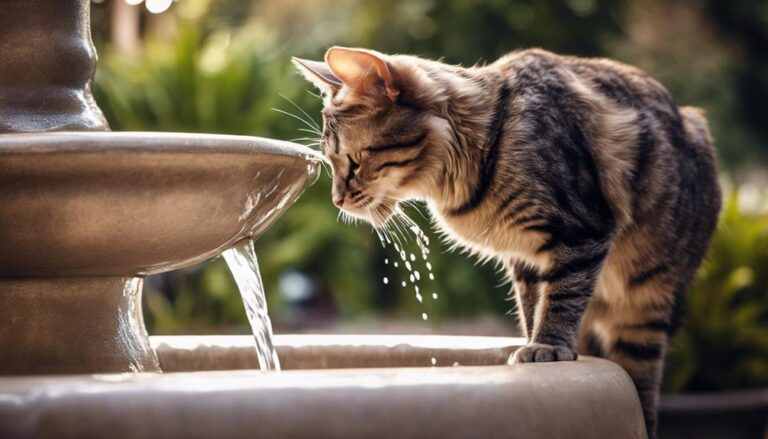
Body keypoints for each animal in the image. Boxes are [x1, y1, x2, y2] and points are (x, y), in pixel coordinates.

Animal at [292, 48, 720, 436]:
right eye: (331, 163)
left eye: (354, 161)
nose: (336, 200)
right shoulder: (527, 260)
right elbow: (534, 308)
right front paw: (533, 345)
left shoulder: (581, 231)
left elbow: (561, 299)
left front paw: (548, 347)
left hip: (646, 307)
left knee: (642, 384)